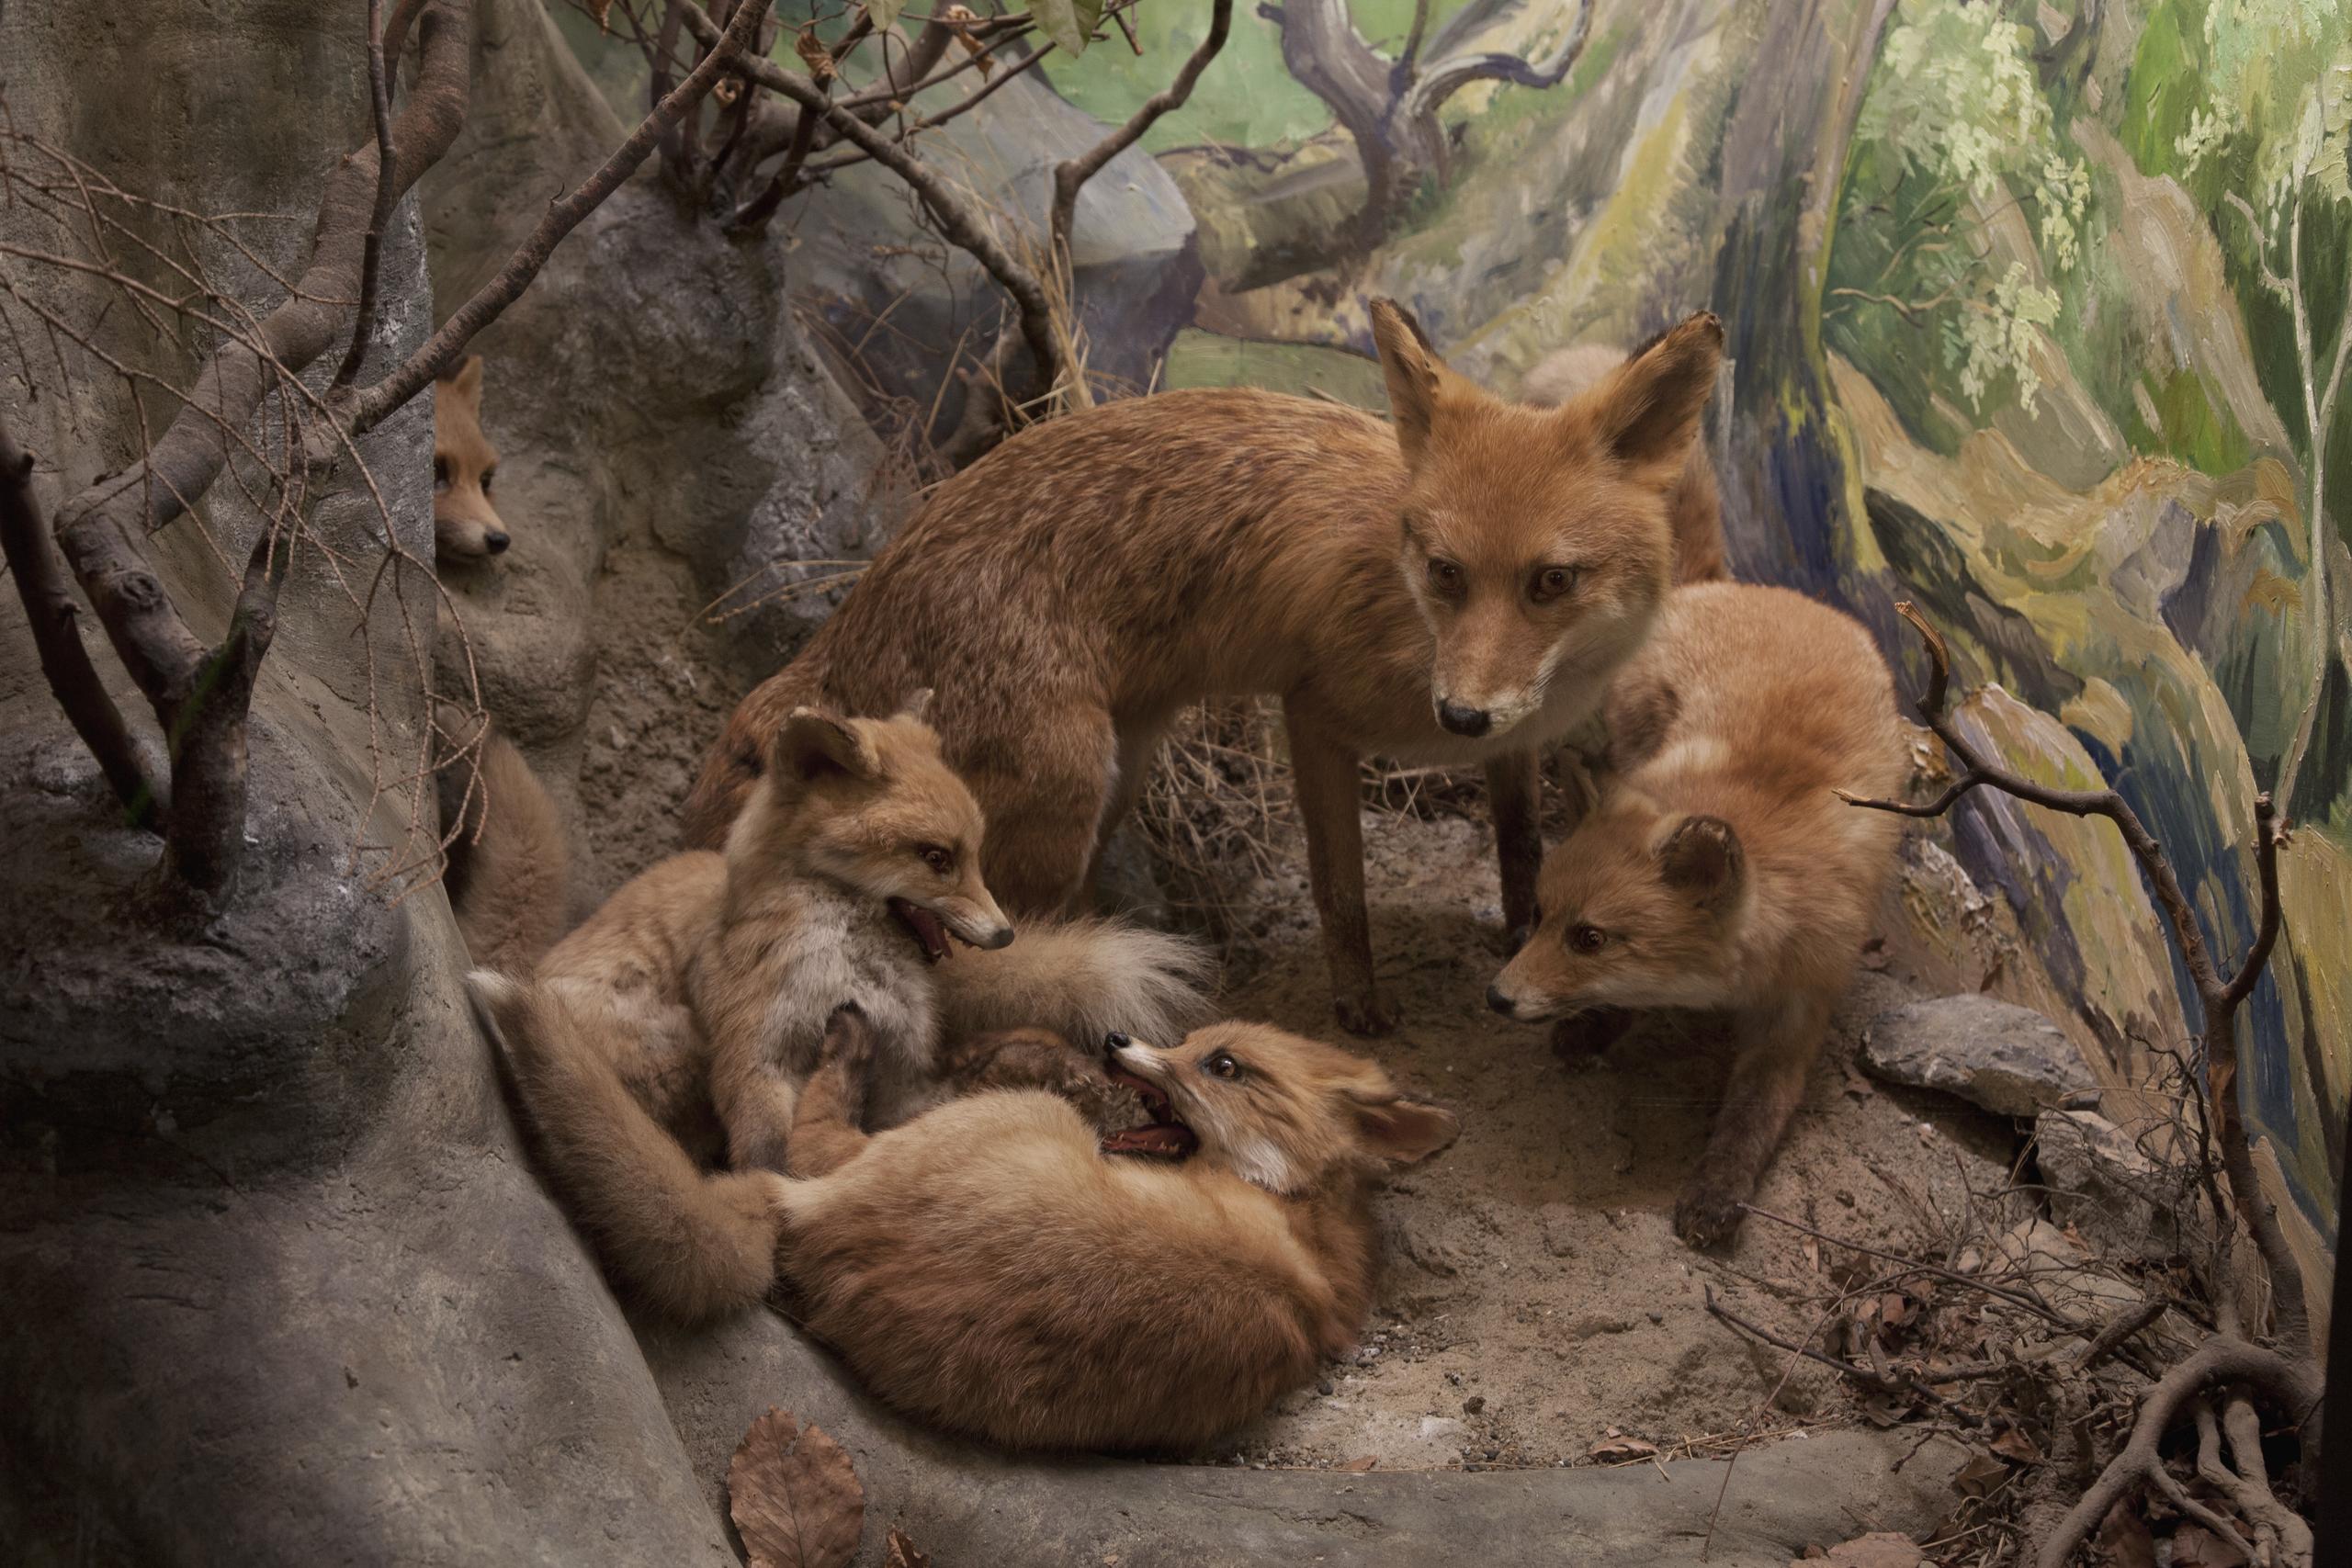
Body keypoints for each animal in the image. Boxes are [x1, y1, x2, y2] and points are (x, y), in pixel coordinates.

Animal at [470, 973, 1448, 1457]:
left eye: (1225, 1066)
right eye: (1196, 1041)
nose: (1113, 1039)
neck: (1290, 1208)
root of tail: (826, 1216)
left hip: (953, 1128)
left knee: (805, 1142)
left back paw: (849, 1041)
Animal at [503, 691, 1204, 1184]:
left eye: (974, 855)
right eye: (936, 858)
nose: (1005, 933)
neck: (853, 968)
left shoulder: (902, 1074)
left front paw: (1049, 1069)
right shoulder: (759, 1052)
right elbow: (768, 1148)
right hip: (669, 1039)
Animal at [686, 305, 1731, 1043]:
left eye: (1551, 581)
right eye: (1445, 572)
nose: (1460, 716)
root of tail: (872, 588)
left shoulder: (1517, 743)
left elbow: (1518, 847)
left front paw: (1523, 931)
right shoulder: (1317, 714)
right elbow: (1341, 891)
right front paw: (1359, 1010)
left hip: (1120, 769)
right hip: (1061, 795)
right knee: (987, 957)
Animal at [1486, 581, 1909, 1250]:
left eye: (1589, 938)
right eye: (1540, 910)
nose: (1496, 997)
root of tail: (1767, 590)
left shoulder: (1802, 999)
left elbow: (1754, 1114)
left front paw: (1718, 1190)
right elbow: (1630, 998)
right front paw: (1599, 1025)